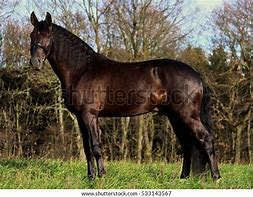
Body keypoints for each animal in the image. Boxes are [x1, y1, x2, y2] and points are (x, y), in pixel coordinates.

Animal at [29, 11, 219, 179]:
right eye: (31, 36)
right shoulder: (81, 117)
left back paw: (215, 176)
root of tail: (196, 75)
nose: (35, 63)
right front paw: (90, 177)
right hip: (175, 117)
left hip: (188, 116)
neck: (82, 70)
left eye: (47, 36)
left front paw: (101, 177)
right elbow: (87, 148)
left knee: (206, 140)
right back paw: (184, 177)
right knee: (187, 145)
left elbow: (96, 147)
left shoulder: (90, 115)